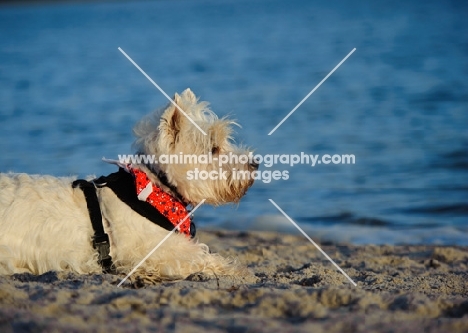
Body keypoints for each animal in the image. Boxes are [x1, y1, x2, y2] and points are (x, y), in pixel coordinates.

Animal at [0, 88, 256, 282]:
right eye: (214, 148)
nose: (255, 163)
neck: (156, 188)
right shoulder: (158, 252)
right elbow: (202, 258)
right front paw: (239, 270)